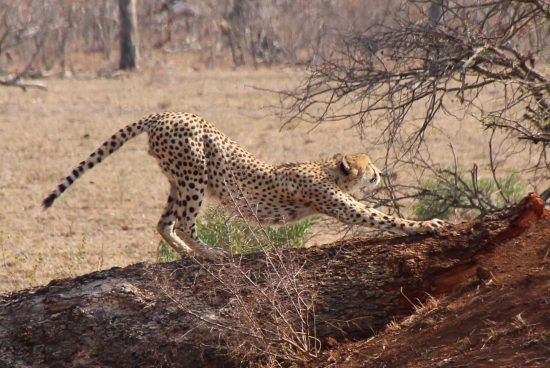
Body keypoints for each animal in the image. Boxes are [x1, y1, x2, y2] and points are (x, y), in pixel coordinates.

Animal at [43, 112, 448, 258]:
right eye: (369, 165)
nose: (380, 173)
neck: (328, 170)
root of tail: (164, 113)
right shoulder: (337, 203)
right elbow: (382, 217)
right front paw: (427, 224)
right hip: (194, 176)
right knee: (185, 223)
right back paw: (213, 254)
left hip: (178, 179)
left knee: (164, 222)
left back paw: (188, 255)